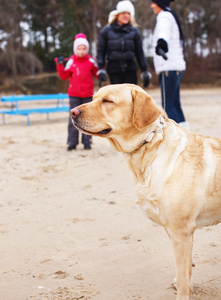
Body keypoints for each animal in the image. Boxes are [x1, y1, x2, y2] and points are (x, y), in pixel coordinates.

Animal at [71, 84, 221, 300]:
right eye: (93, 98)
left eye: (108, 101)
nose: (72, 112)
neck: (149, 147)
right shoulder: (175, 231)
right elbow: (186, 271)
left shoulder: (181, 230)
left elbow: (182, 277)